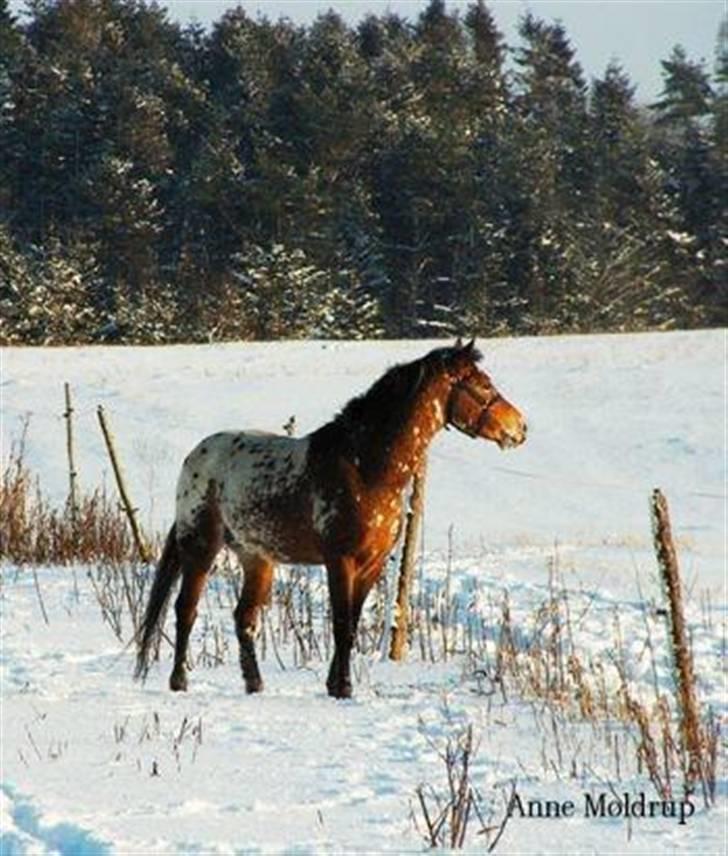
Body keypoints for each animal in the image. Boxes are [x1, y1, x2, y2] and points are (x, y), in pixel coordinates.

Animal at [135, 338, 524, 700]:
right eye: (482, 385)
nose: (519, 427)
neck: (364, 468)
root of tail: (195, 456)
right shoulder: (340, 560)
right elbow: (341, 626)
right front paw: (343, 688)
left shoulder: (371, 565)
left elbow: (351, 624)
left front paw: (336, 685)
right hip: (201, 547)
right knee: (186, 609)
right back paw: (179, 681)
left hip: (257, 558)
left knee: (244, 620)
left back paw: (255, 685)